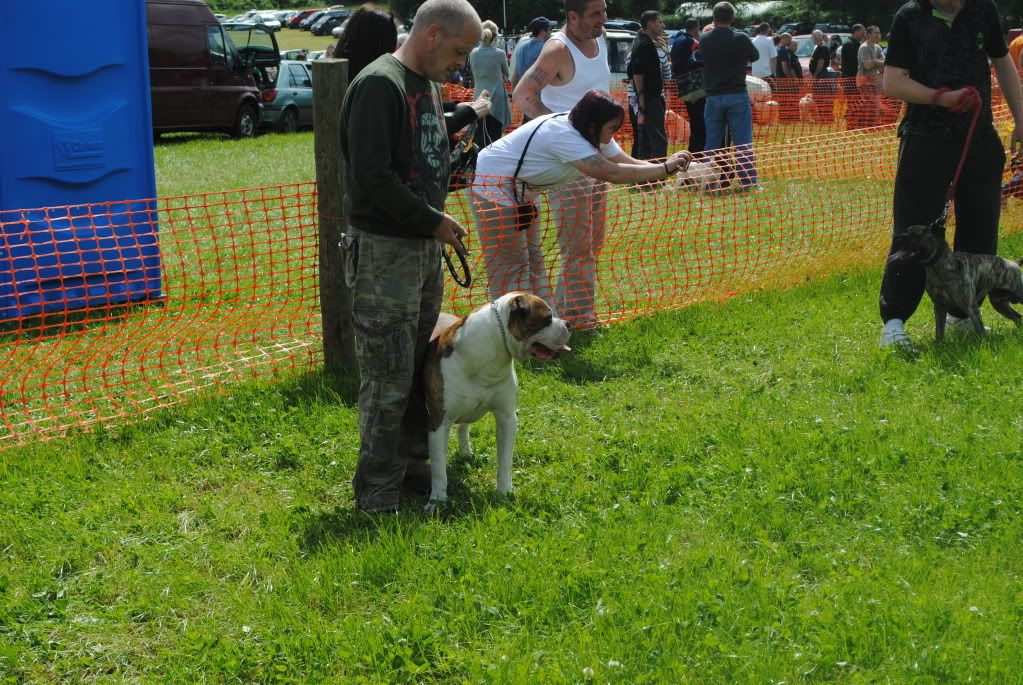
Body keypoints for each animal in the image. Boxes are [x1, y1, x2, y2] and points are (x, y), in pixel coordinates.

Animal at [887, 223, 1023, 341]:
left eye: (915, 234)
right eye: (906, 230)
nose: (895, 237)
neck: (938, 268)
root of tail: (1015, 263)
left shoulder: (971, 307)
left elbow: (980, 329)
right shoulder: (939, 306)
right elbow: (939, 330)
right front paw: (940, 345)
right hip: (999, 304)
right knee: (1018, 318)